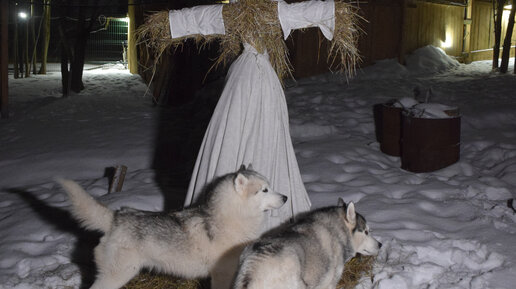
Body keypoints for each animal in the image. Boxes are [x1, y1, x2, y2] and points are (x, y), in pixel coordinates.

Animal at [59, 165, 290, 286]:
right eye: (264, 190)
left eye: (270, 187)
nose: (286, 197)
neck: (232, 220)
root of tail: (117, 216)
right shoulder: (222, 275)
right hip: (118, 275)